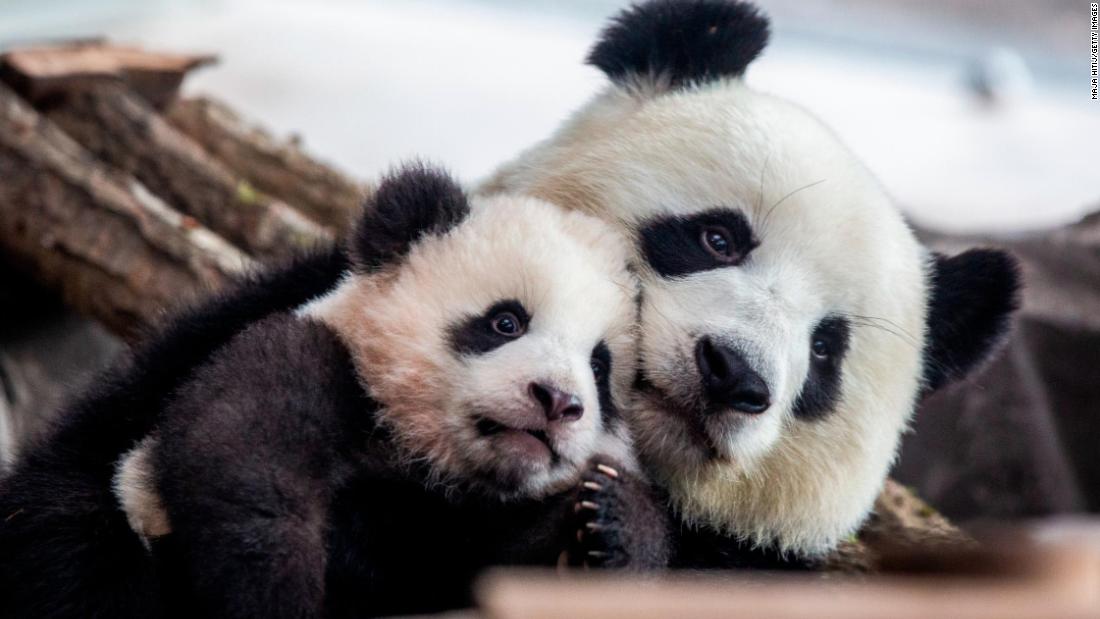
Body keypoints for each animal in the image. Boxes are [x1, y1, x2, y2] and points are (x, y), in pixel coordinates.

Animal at [2, 166, 660, 619]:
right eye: (506, 321)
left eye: (599, 366)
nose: (557, 401)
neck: (418, 454)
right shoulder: (312, 359)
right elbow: (243, 454)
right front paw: (276, 594)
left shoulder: (452, 531)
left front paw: (609, 524)